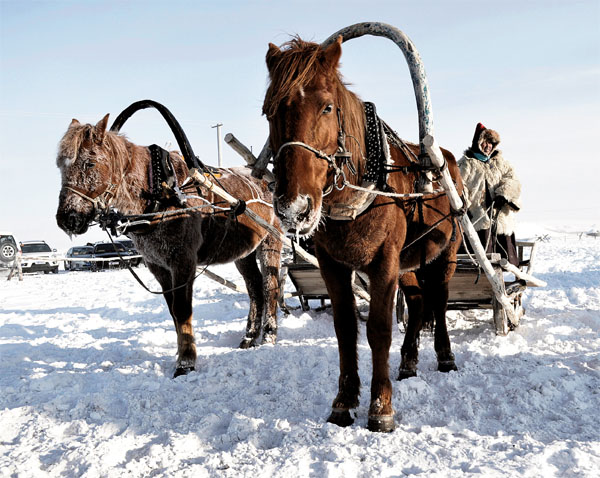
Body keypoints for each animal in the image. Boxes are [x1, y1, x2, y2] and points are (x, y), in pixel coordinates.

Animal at [56, 115, 282, 378]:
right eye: (61, 166)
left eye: (90, 163)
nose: (67, 218)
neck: (161, 193)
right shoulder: (158, 266)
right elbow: (173, 310)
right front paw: (181, 350)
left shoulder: (183, 261)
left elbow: (183, 309)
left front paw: (186, 363)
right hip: (243, 252)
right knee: (254, 288)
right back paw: (249, 337)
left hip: (271, 242)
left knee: (270, 287)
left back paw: (268, 336)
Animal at [264, 38, 464, 434]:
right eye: (268, 112)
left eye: (327, 106)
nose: (294, 207)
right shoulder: (333, 266)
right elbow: (345, 329)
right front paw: (343, 402)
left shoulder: (384, 262)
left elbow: (379, 330)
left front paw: (381, 406)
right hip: (409, 262)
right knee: (418, 301)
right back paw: (408, 361)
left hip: (446, 252)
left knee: (439, 299)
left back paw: (445, 356)